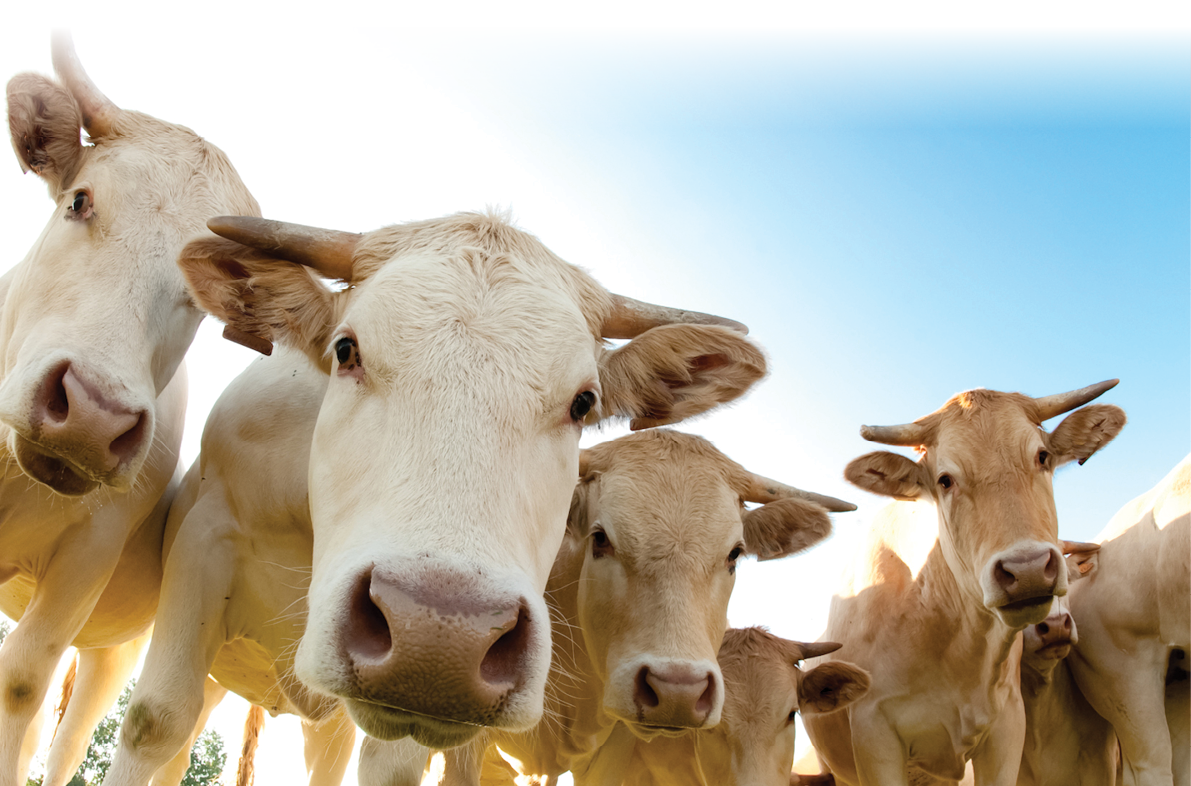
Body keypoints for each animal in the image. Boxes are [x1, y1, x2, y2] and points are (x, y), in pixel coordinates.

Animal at [0, 28, 259, 786]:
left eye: (201, 294)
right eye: (80, 201)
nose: (91, 416)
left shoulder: (90, 553)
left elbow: (19, 681)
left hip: (121, 651)